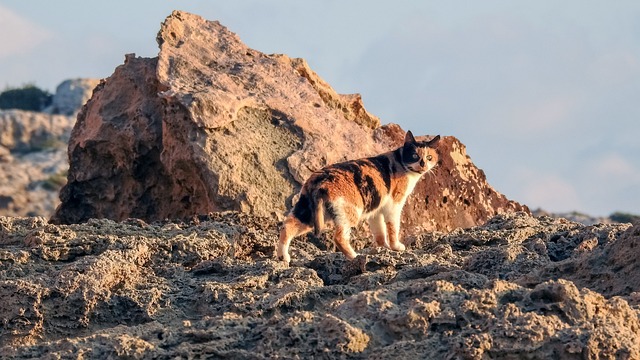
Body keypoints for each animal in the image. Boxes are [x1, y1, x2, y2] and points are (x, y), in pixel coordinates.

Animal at [276, 131, 440, 262]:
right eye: (414, 155)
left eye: (429, 157)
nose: (423, 164)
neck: (401, 163)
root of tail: (319, 180)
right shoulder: (394, 205)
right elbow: (393, 228)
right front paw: (396, 247)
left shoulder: (376, 210)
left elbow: (379, 231)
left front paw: (383, 248)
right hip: (349, 211)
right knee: (339, 237)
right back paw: (355, 257)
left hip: (309, 211)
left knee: (287, 226)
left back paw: (283, 257)